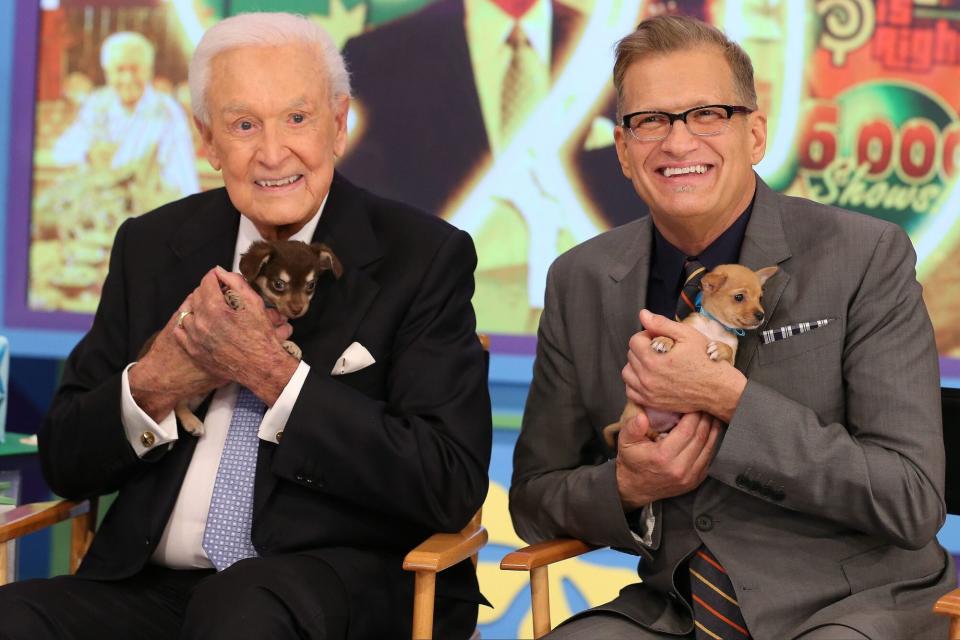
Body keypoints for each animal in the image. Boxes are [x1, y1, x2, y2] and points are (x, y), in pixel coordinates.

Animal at [604, 262, 776, 448]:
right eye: (739, 297)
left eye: (760, 298)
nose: (761, 315)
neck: (715, 326)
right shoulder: (687, 328)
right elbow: (672, 334)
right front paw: (664, 340)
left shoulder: (731, 364)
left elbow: (728, 350)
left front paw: (719, 348)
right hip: (635, 411)